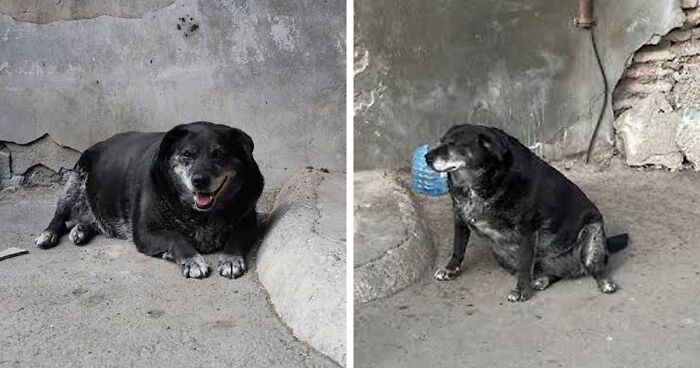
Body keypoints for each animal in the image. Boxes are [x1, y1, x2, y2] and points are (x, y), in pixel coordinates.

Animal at [33, 121, 262, 278]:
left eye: (218, 154)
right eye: (187, 154)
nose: (199, 181)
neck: (201, 214)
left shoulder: (249, 223)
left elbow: (236, 238)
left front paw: (231, 258)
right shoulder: (144, 233)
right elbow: (174, 237)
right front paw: (192, 260)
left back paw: (81, 229)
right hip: (74, 183)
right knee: (59, 215)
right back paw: (48, 234)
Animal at [426, 123, 628, 302]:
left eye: (454, 144)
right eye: (441, 141)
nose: (427, 157)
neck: (477, 183)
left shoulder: (526, 229)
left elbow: (524, 265)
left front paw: (522, 290)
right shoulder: (459, 217)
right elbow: (458, 248)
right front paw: (450, 269)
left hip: (592, 234)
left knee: (595, 266)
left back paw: (605, 282)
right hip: (500, 253)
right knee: (553, 273)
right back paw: (542, 280)